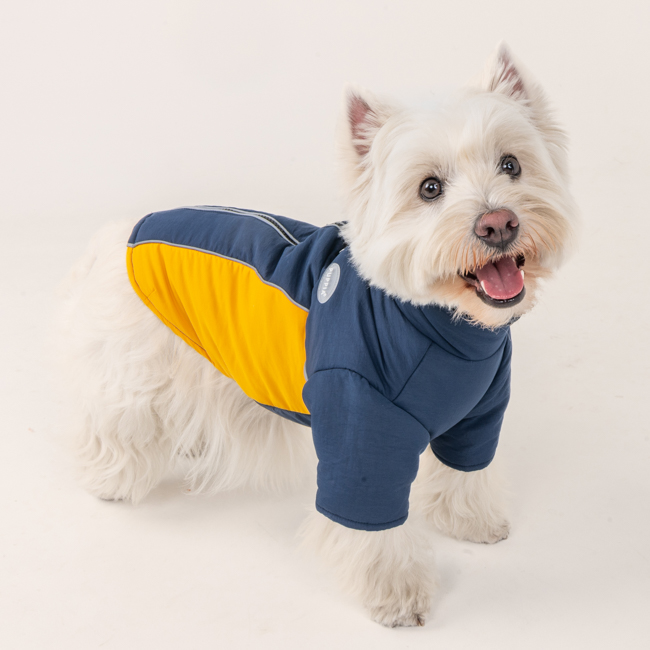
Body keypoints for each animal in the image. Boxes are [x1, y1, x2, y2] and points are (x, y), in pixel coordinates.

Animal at [59, 44, 577, 627]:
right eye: (429, 189)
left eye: (511, 165)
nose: (498, 224)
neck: (442, 329)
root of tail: (120, 234)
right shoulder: (361, 426)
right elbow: (369, 518)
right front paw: (396, 594)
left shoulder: (479, 416)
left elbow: (464, 470)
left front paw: (471, 521)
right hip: (134, 371)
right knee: (114, 423)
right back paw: (109, 479)